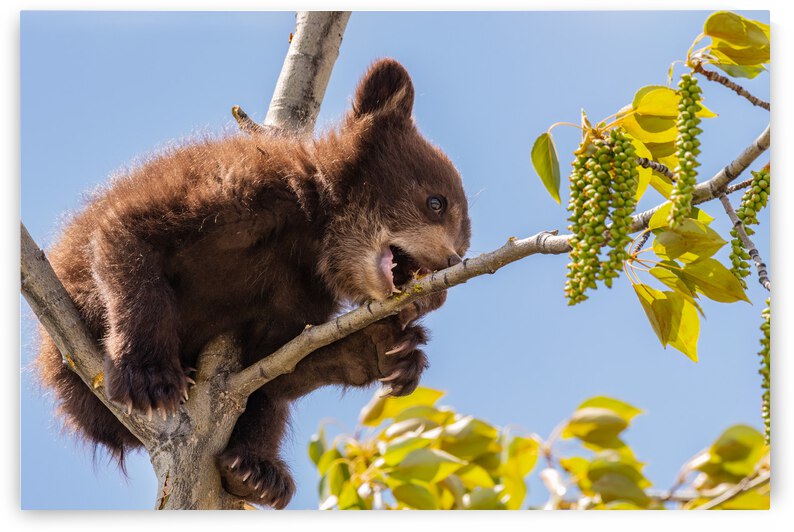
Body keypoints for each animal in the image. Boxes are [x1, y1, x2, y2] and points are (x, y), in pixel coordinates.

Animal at [34, 58, 471, 509]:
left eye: (465, 240)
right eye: (437, 203)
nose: (450, 267)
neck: (311, 238)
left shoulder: (299, 294)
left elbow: (275, 366)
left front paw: (386, 349)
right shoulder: (237, 192)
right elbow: (127, 233)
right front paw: (149, 377)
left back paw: (256, 471)